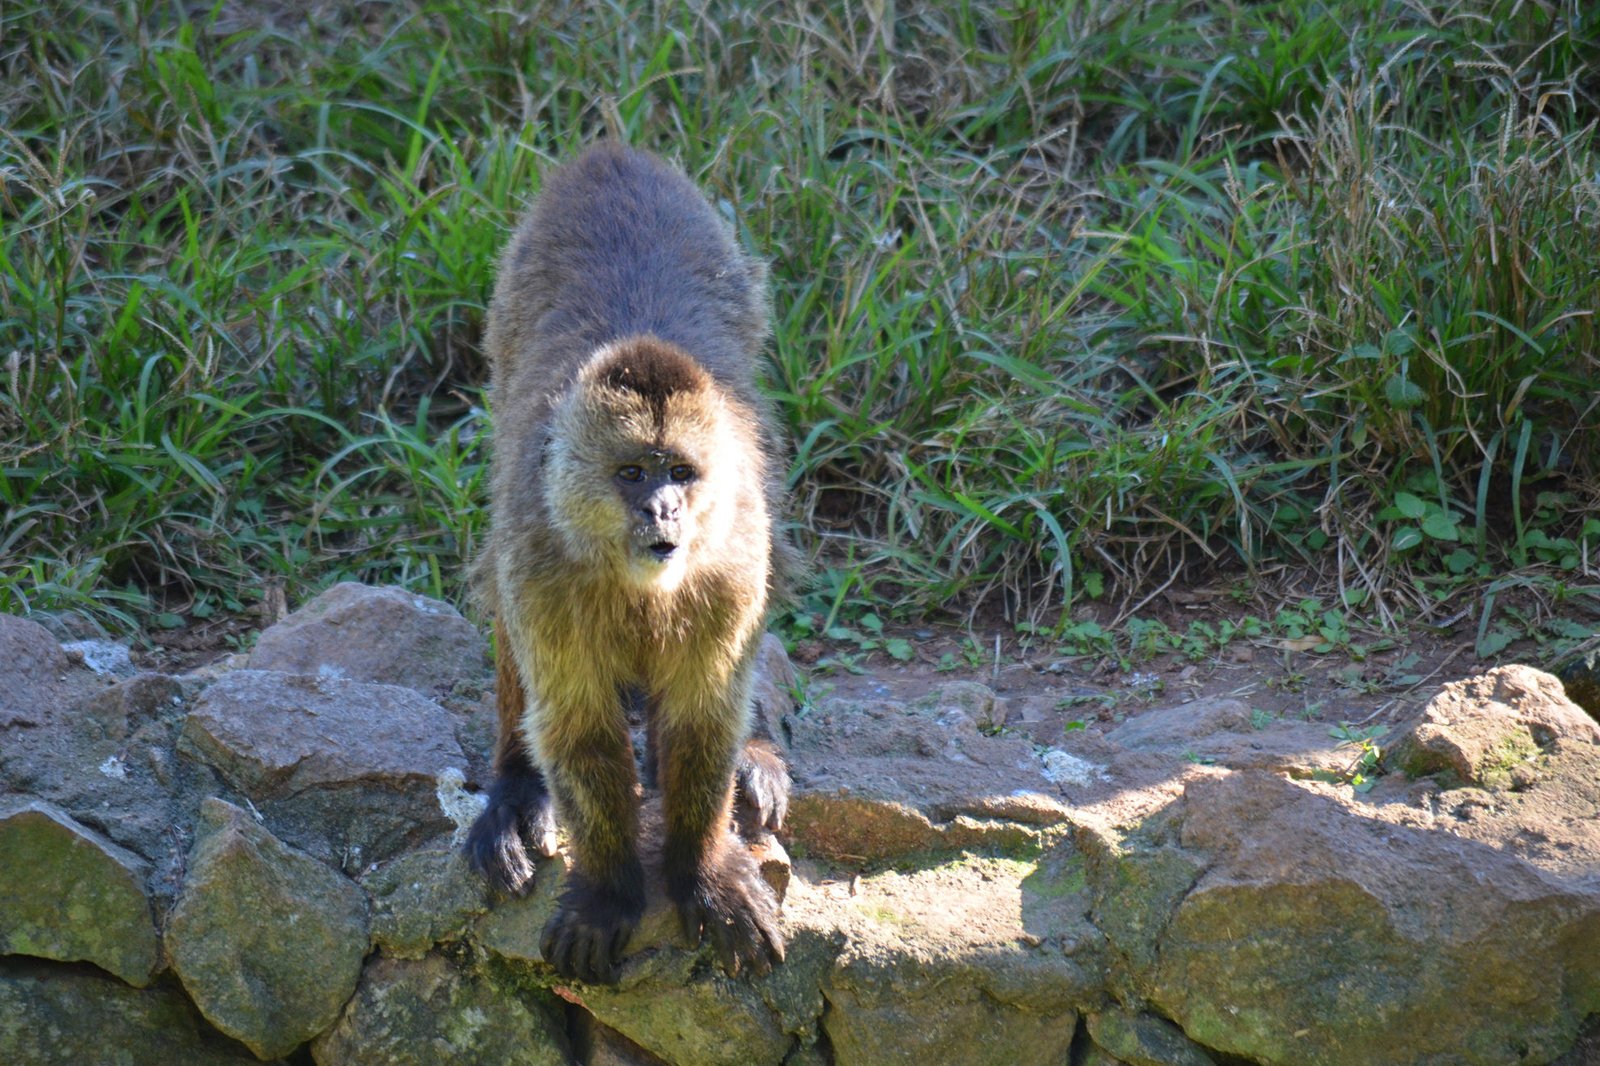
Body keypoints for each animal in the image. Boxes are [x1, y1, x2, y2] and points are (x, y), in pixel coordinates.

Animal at [464, 140, 793, 979]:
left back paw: (755, 754)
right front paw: (610, 890)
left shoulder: (730, 557)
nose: (664, 512)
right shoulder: (541, 557)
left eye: (680, 472)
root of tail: (610, 153)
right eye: (633, 474)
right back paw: (514, 785)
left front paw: (700, 871)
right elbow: (578, 726)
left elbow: (703, 714)